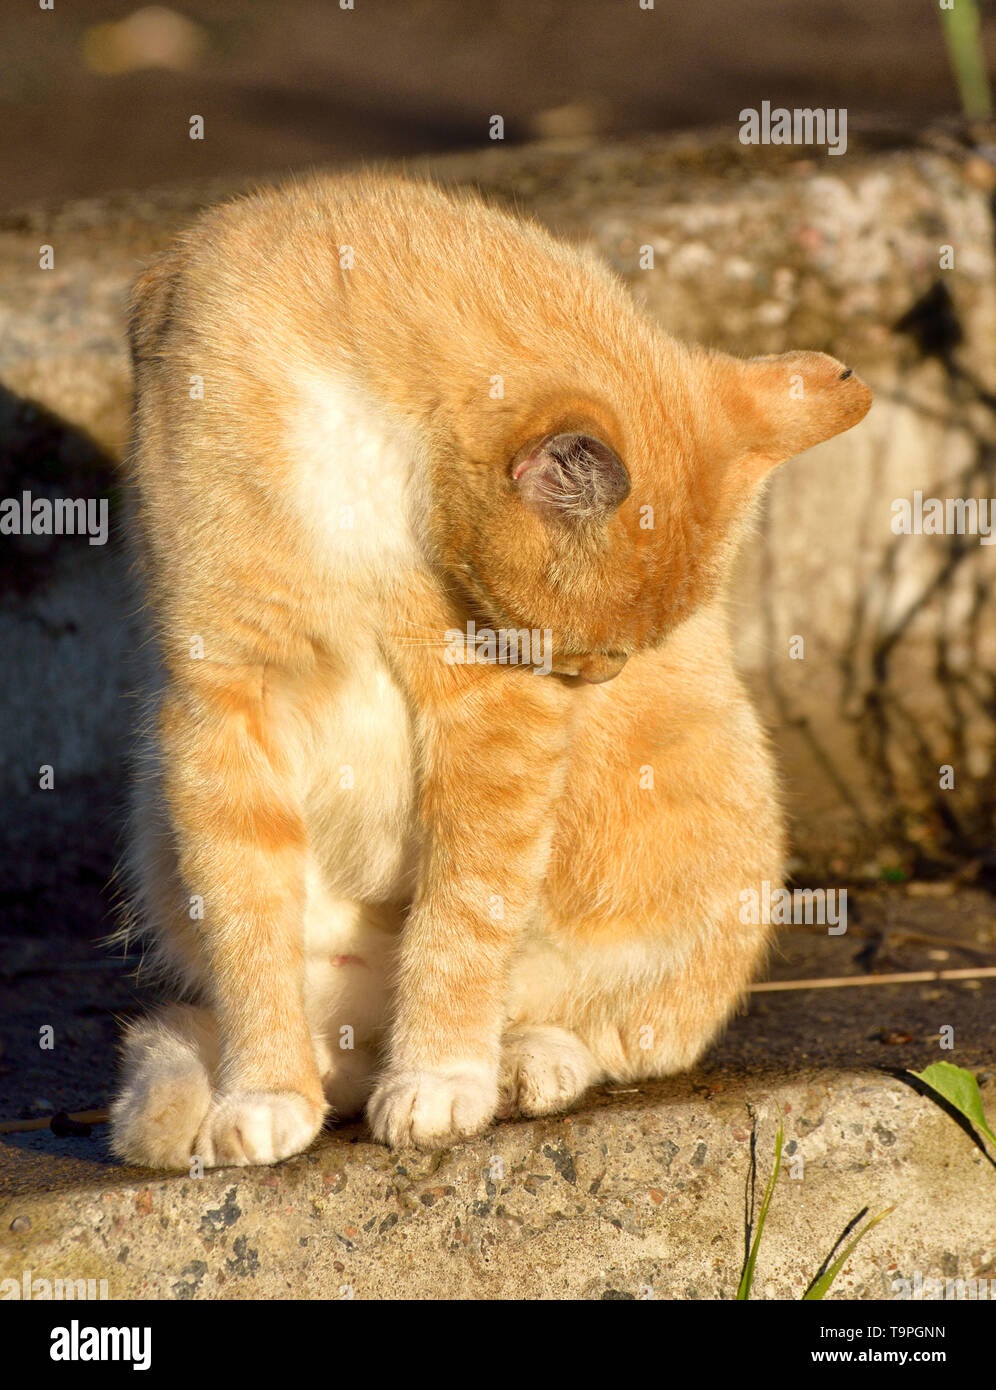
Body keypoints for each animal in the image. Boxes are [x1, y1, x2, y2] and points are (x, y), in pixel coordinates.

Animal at [110, 173, 872, 1173]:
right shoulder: (223, 704)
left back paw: (522, 1063)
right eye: (590, 655)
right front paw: (264, 1088)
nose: (596, 686)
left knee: (606, 1028)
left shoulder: (495, 713)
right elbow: (246, 920)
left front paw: (440, 1076)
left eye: (615, 662)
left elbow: (464, 915)